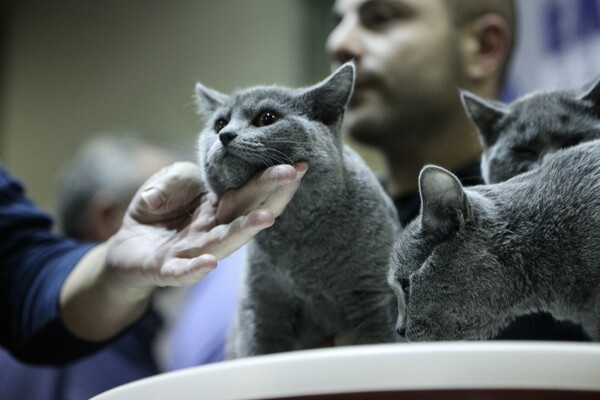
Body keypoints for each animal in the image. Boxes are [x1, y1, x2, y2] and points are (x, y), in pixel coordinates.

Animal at [198, 64, 404, 358]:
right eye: (219, 123)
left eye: (267, 118)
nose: (225, 135)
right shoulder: (262, 307)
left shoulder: (371, 298)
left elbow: (377, 342)